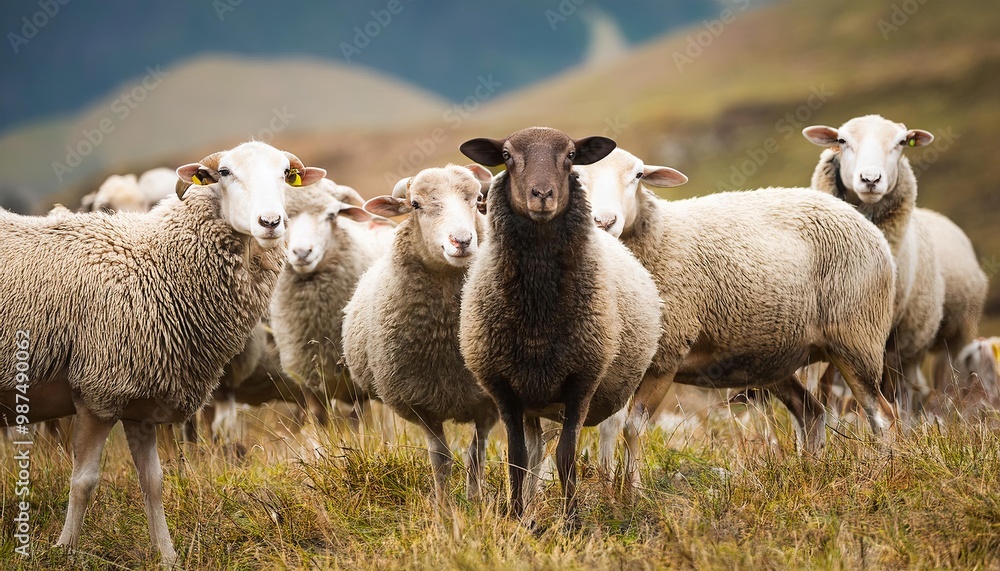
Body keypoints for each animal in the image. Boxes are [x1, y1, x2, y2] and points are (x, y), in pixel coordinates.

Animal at [0, 141, 325, 565]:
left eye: (286, 174)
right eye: (224, 173)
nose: (271, 222)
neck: (155, 263)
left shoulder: (141, 402)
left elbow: (153, 481)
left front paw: (167, 555)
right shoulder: (97, 391)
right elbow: (84, 480)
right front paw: (65, 550)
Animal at [342, 163, 500, 504]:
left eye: (477, 199)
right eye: (415, 204)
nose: (461, 241)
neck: (447, 338)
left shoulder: (488, 402)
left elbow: (476, 456)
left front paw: (475, 502)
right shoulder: (420, 404)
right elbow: (441, 460)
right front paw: (443, 506)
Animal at [458, 127, 662, 519]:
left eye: (570, 156)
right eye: (506, 155)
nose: (542, 195)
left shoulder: (581, 381)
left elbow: (566, 457)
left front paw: (572, 521)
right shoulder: (504, 387)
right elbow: (517, 458)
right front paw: (517, 516)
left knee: (613, 433)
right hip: (532, 397)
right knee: (536, 447)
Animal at [575, 147, 898, 485]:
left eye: (638, 175)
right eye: (576, 175)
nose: (604, 220)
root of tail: (861, 220)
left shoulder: (666, 357)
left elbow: (633, 427)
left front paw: (632, 489)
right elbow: (609, 427)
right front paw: (607, 486)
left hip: (857, 339)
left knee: (882, 416)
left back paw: (884, 474)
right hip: (778, 355)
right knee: (811, 412)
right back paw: (809, 473)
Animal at [803, 115, 947, 415]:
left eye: (901, 142)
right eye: (842, 140)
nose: (870, 179)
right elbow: (825, 382)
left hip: (907, 342)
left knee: (903, 385)